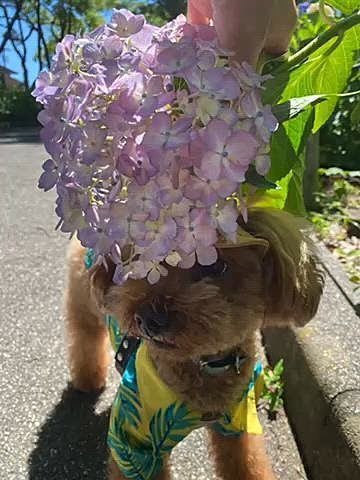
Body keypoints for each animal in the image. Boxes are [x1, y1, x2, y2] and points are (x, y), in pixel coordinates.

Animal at [64, 207, 324, 480]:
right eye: (144, 259)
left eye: (216, 265)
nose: (148, 319)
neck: (204, 365)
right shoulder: (135, 441)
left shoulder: (236, 422)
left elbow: (246, 462)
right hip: (84, 304)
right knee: (85, 338)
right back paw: (88, 379)